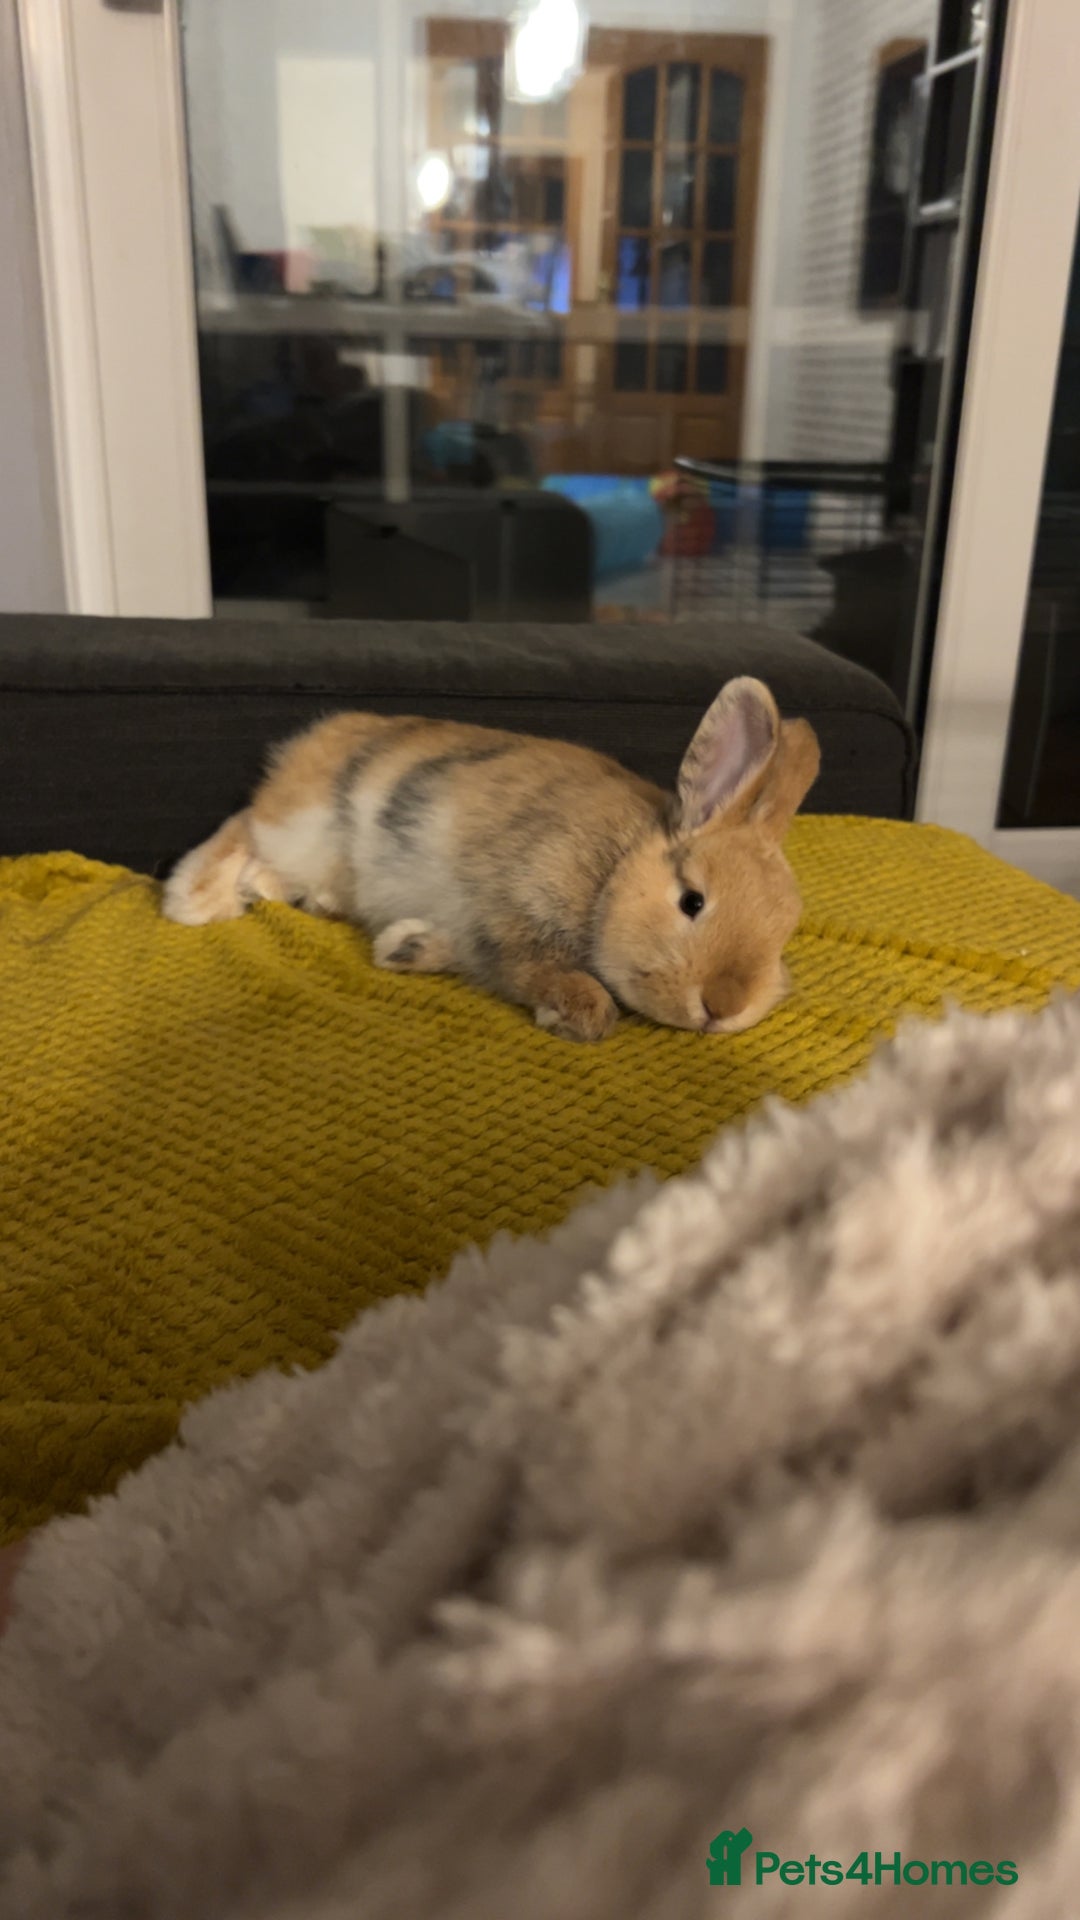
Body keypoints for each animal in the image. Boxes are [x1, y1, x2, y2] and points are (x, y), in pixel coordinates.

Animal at [162, 676, 820, 1042]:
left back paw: (282, 894)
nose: (723, 1008)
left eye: (782, 935)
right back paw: (193, 899)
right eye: (692, 901)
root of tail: (314, 741)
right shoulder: (513, 913)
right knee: (245, 824)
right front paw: (576, 1014)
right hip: (303, 822)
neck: (613, 871)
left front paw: (403, 947)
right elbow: (544, 976)